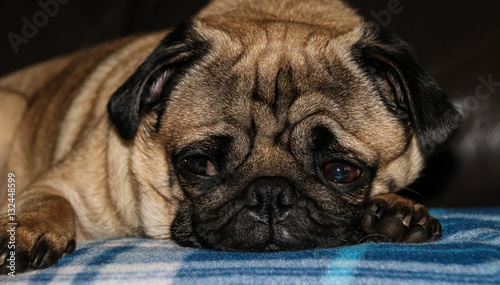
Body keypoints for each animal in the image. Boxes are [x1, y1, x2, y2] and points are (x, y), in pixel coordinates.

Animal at [0, 0, 460, 272]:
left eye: (341, 171)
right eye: (198, 164)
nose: (270, 193)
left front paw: (393, 212)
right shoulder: (63, 186)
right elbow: (47, 202)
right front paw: (25, 230)